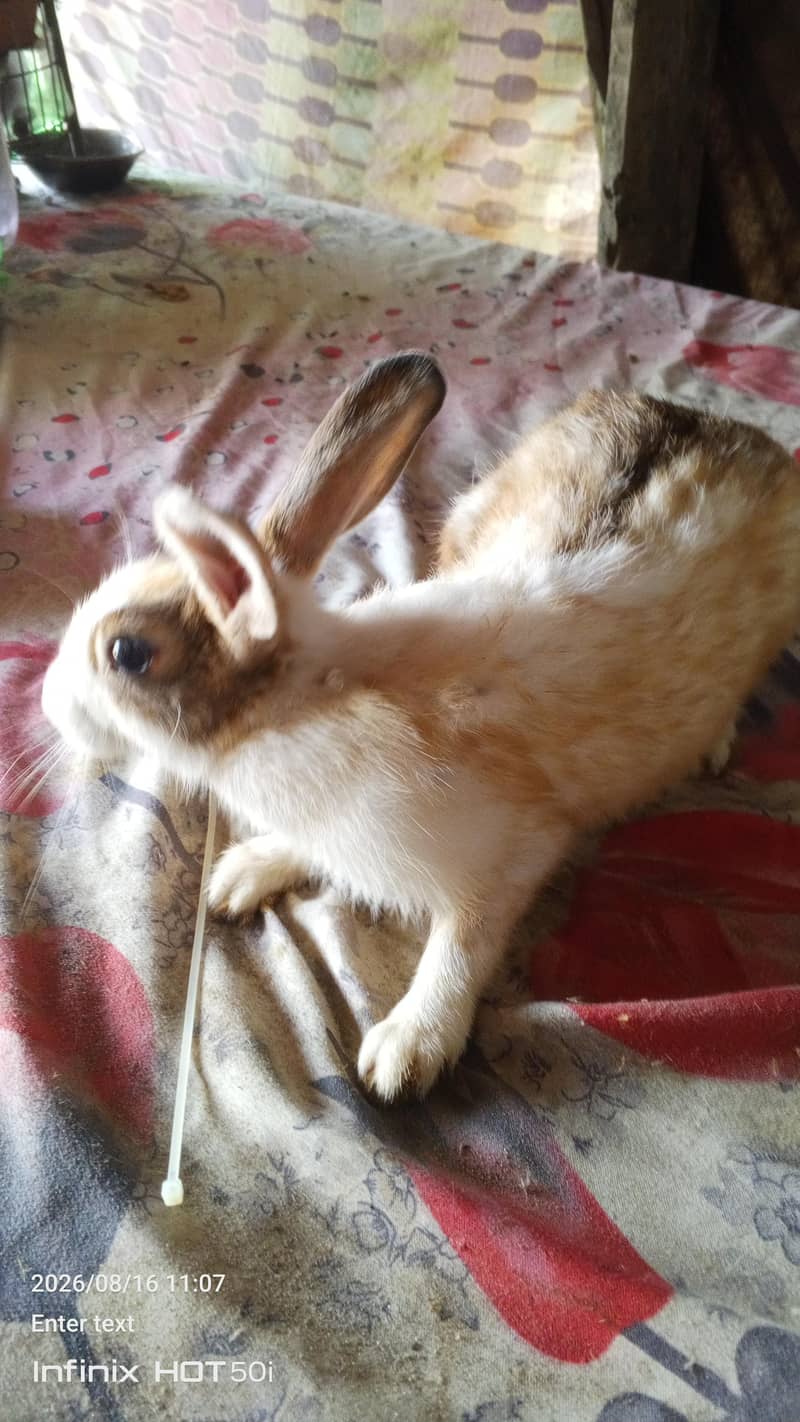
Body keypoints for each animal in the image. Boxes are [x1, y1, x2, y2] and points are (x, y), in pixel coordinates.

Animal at [41, 352, 800, 1102]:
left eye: (127, 653)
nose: (46, 703)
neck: (305, 701)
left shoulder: (511, 854)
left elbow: (462, 948)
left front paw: (406, 1052)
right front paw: (243, 875)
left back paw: (714, 744)